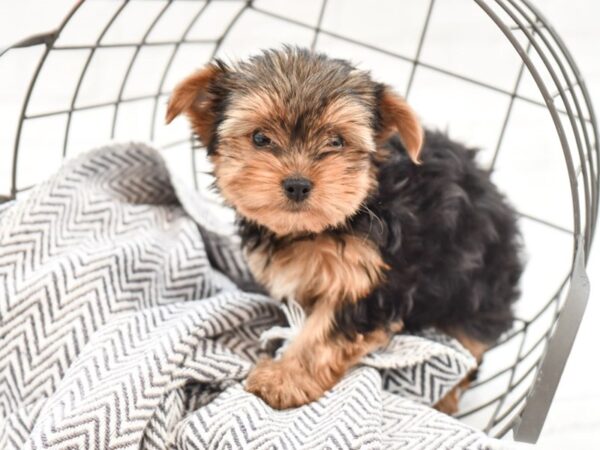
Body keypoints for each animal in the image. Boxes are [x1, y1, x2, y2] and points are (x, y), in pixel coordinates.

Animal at [166, 47, 524, 414]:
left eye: (336, 141)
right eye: (260, 138)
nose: (297, 184)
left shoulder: (371, 280)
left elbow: (324, 334)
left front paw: (282, 379)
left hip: (477, 289)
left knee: (469, 346)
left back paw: (447, 396)